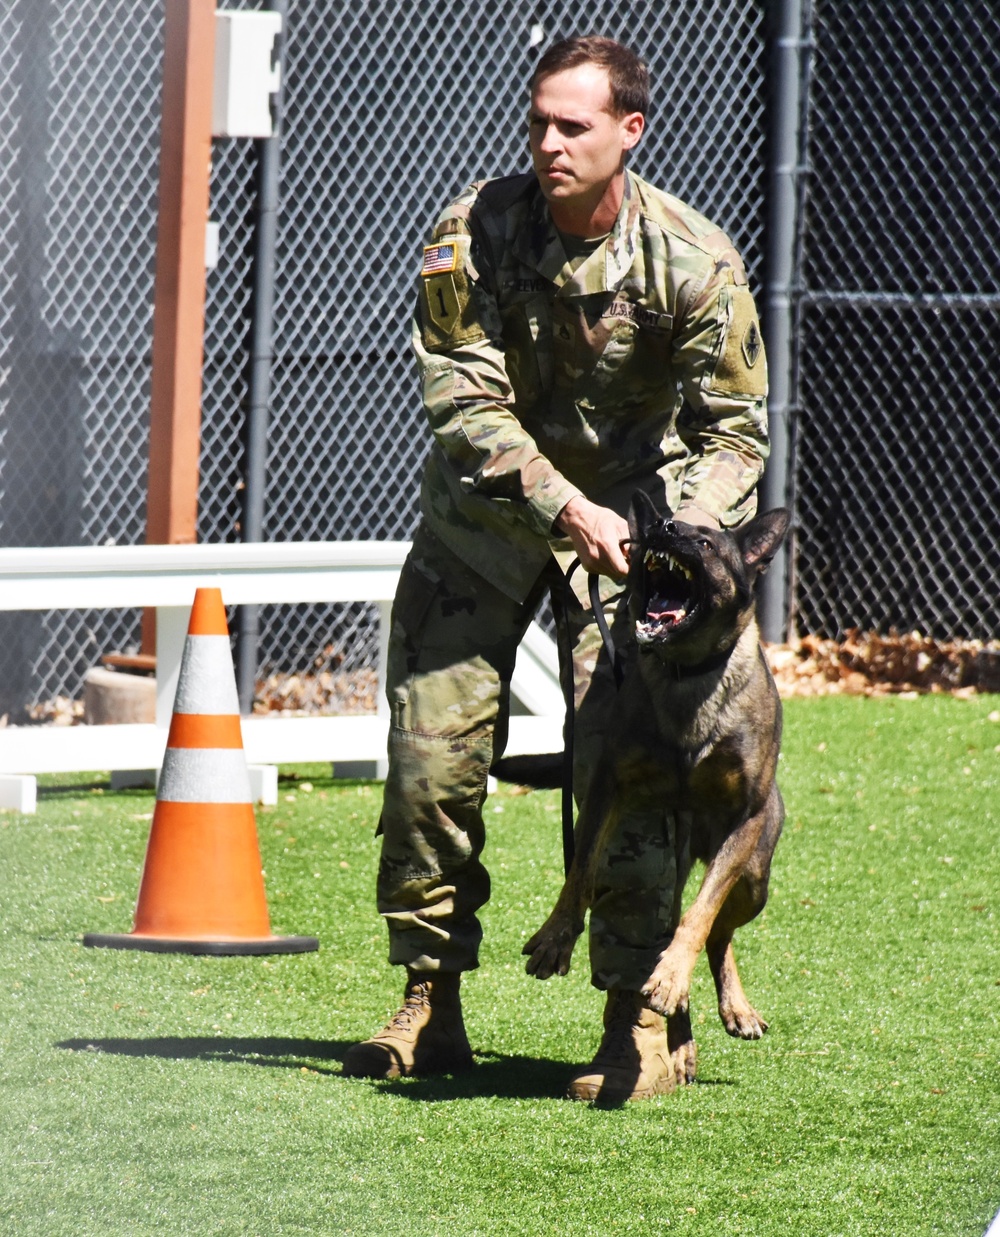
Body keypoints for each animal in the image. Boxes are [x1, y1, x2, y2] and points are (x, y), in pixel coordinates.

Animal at [514, 492, 787, 1083]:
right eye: (665, 528)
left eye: (704, 540)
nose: (661, 527)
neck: (689, 672)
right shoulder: (608, 789)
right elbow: (580, 872)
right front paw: (555, 937)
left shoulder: (746, 819)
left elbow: (699, 917)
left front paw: (670, 978)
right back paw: (678, 1042)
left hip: (754, 879)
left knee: (715, 930)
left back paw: (727, 1006)